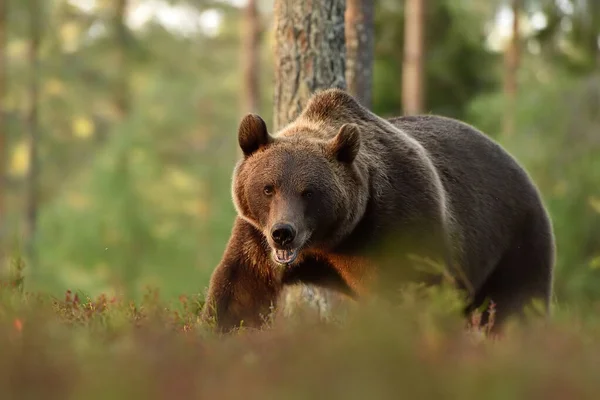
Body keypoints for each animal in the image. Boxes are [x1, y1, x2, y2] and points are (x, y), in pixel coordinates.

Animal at [200, 89, 552, 332]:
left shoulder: (399, 223)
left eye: (309, 192)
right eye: (268, 188)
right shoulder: (255, 234)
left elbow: (416, 294)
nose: (283, 234)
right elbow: (241, 289)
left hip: (516, 240)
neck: (333, 240)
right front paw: (218, 330)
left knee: (519, 306)